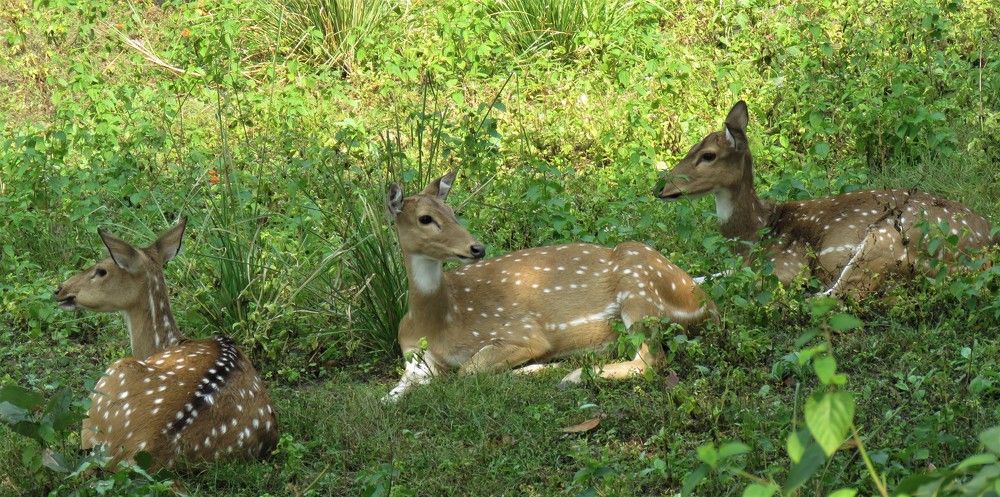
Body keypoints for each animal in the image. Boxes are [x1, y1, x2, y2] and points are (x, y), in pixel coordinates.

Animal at [383, 171, 716, 401]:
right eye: (425, 218)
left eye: (454, 213)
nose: (476, 248)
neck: (437, 323)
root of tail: (706, 302)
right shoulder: (415, 360)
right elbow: (390, 396)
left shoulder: (522, 332)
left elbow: (468, 370)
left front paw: (540, 367)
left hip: (638, 288)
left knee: (651, 361)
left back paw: (569, 375)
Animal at [656, 100, 997, 296]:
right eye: (691, 147)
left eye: (708, 155)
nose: (660, 187)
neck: (756, 233)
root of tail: (987, 248)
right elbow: (701, 276)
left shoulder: (788, 262)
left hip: (887, 238)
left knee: (840, 297)